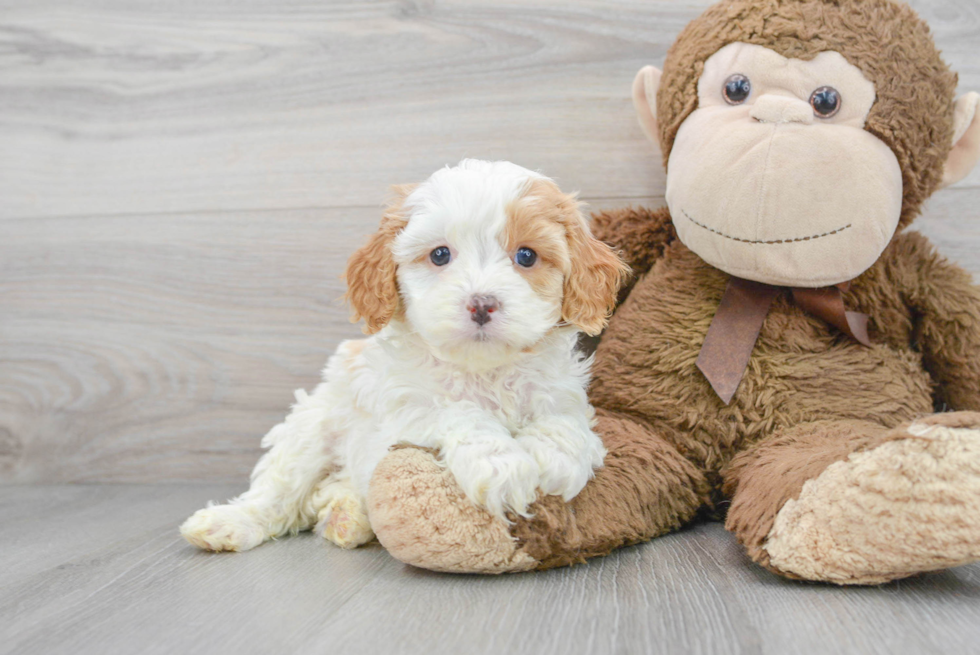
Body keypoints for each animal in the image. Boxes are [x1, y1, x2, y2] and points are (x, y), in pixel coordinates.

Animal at [182, 160, 628, 552]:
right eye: (440, 255)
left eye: (527, 256)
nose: (481, 304)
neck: (481, 370)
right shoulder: (405, 408)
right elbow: (458, 412)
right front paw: (500, 463)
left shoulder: (563, 394)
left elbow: (563, 422)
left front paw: (556, 458)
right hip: (311, 429)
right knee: (279, 492)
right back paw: (231, 522)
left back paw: (346, 515)